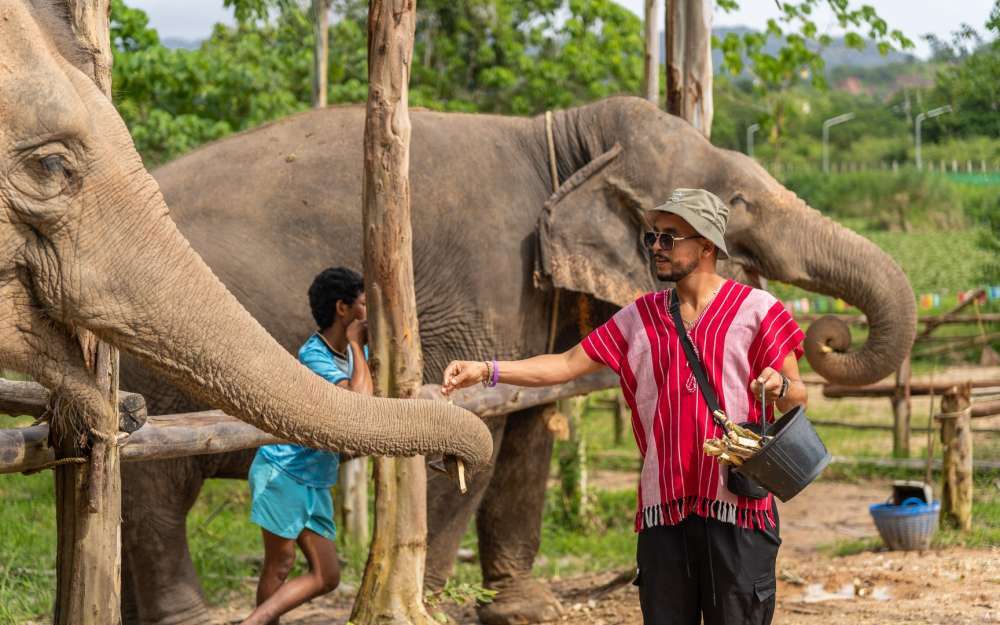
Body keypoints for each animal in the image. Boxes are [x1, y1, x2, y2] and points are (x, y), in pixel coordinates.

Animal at [121, 95, 916, 620]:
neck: (562, 137)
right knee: (156, 493)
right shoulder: (486, 276)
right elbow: (480, 435)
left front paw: (523, 606)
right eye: (741, 200)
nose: (829, 334)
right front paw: (435, 608)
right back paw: (187, 617)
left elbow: (533, 429)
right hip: (150, 366)